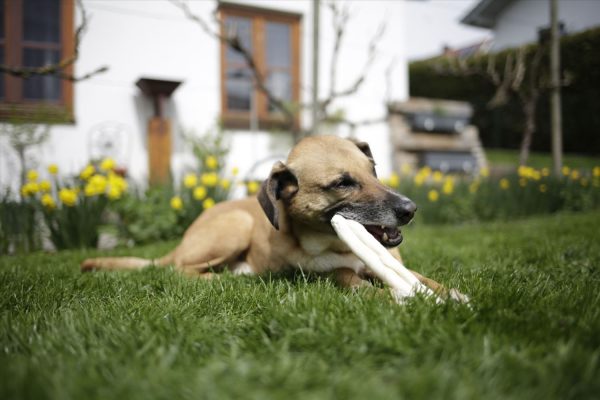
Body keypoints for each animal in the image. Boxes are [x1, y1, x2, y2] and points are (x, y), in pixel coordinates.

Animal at [81, 136, 446, 296]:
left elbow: (424, 278)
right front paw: (395, 297)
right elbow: (346, 277)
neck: (338, 245)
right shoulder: (320, 274)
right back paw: (221, 278)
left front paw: (445, 293)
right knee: (178, 271)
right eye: (342, 183)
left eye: (373, 170)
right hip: (235, 227)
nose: (410, 210)